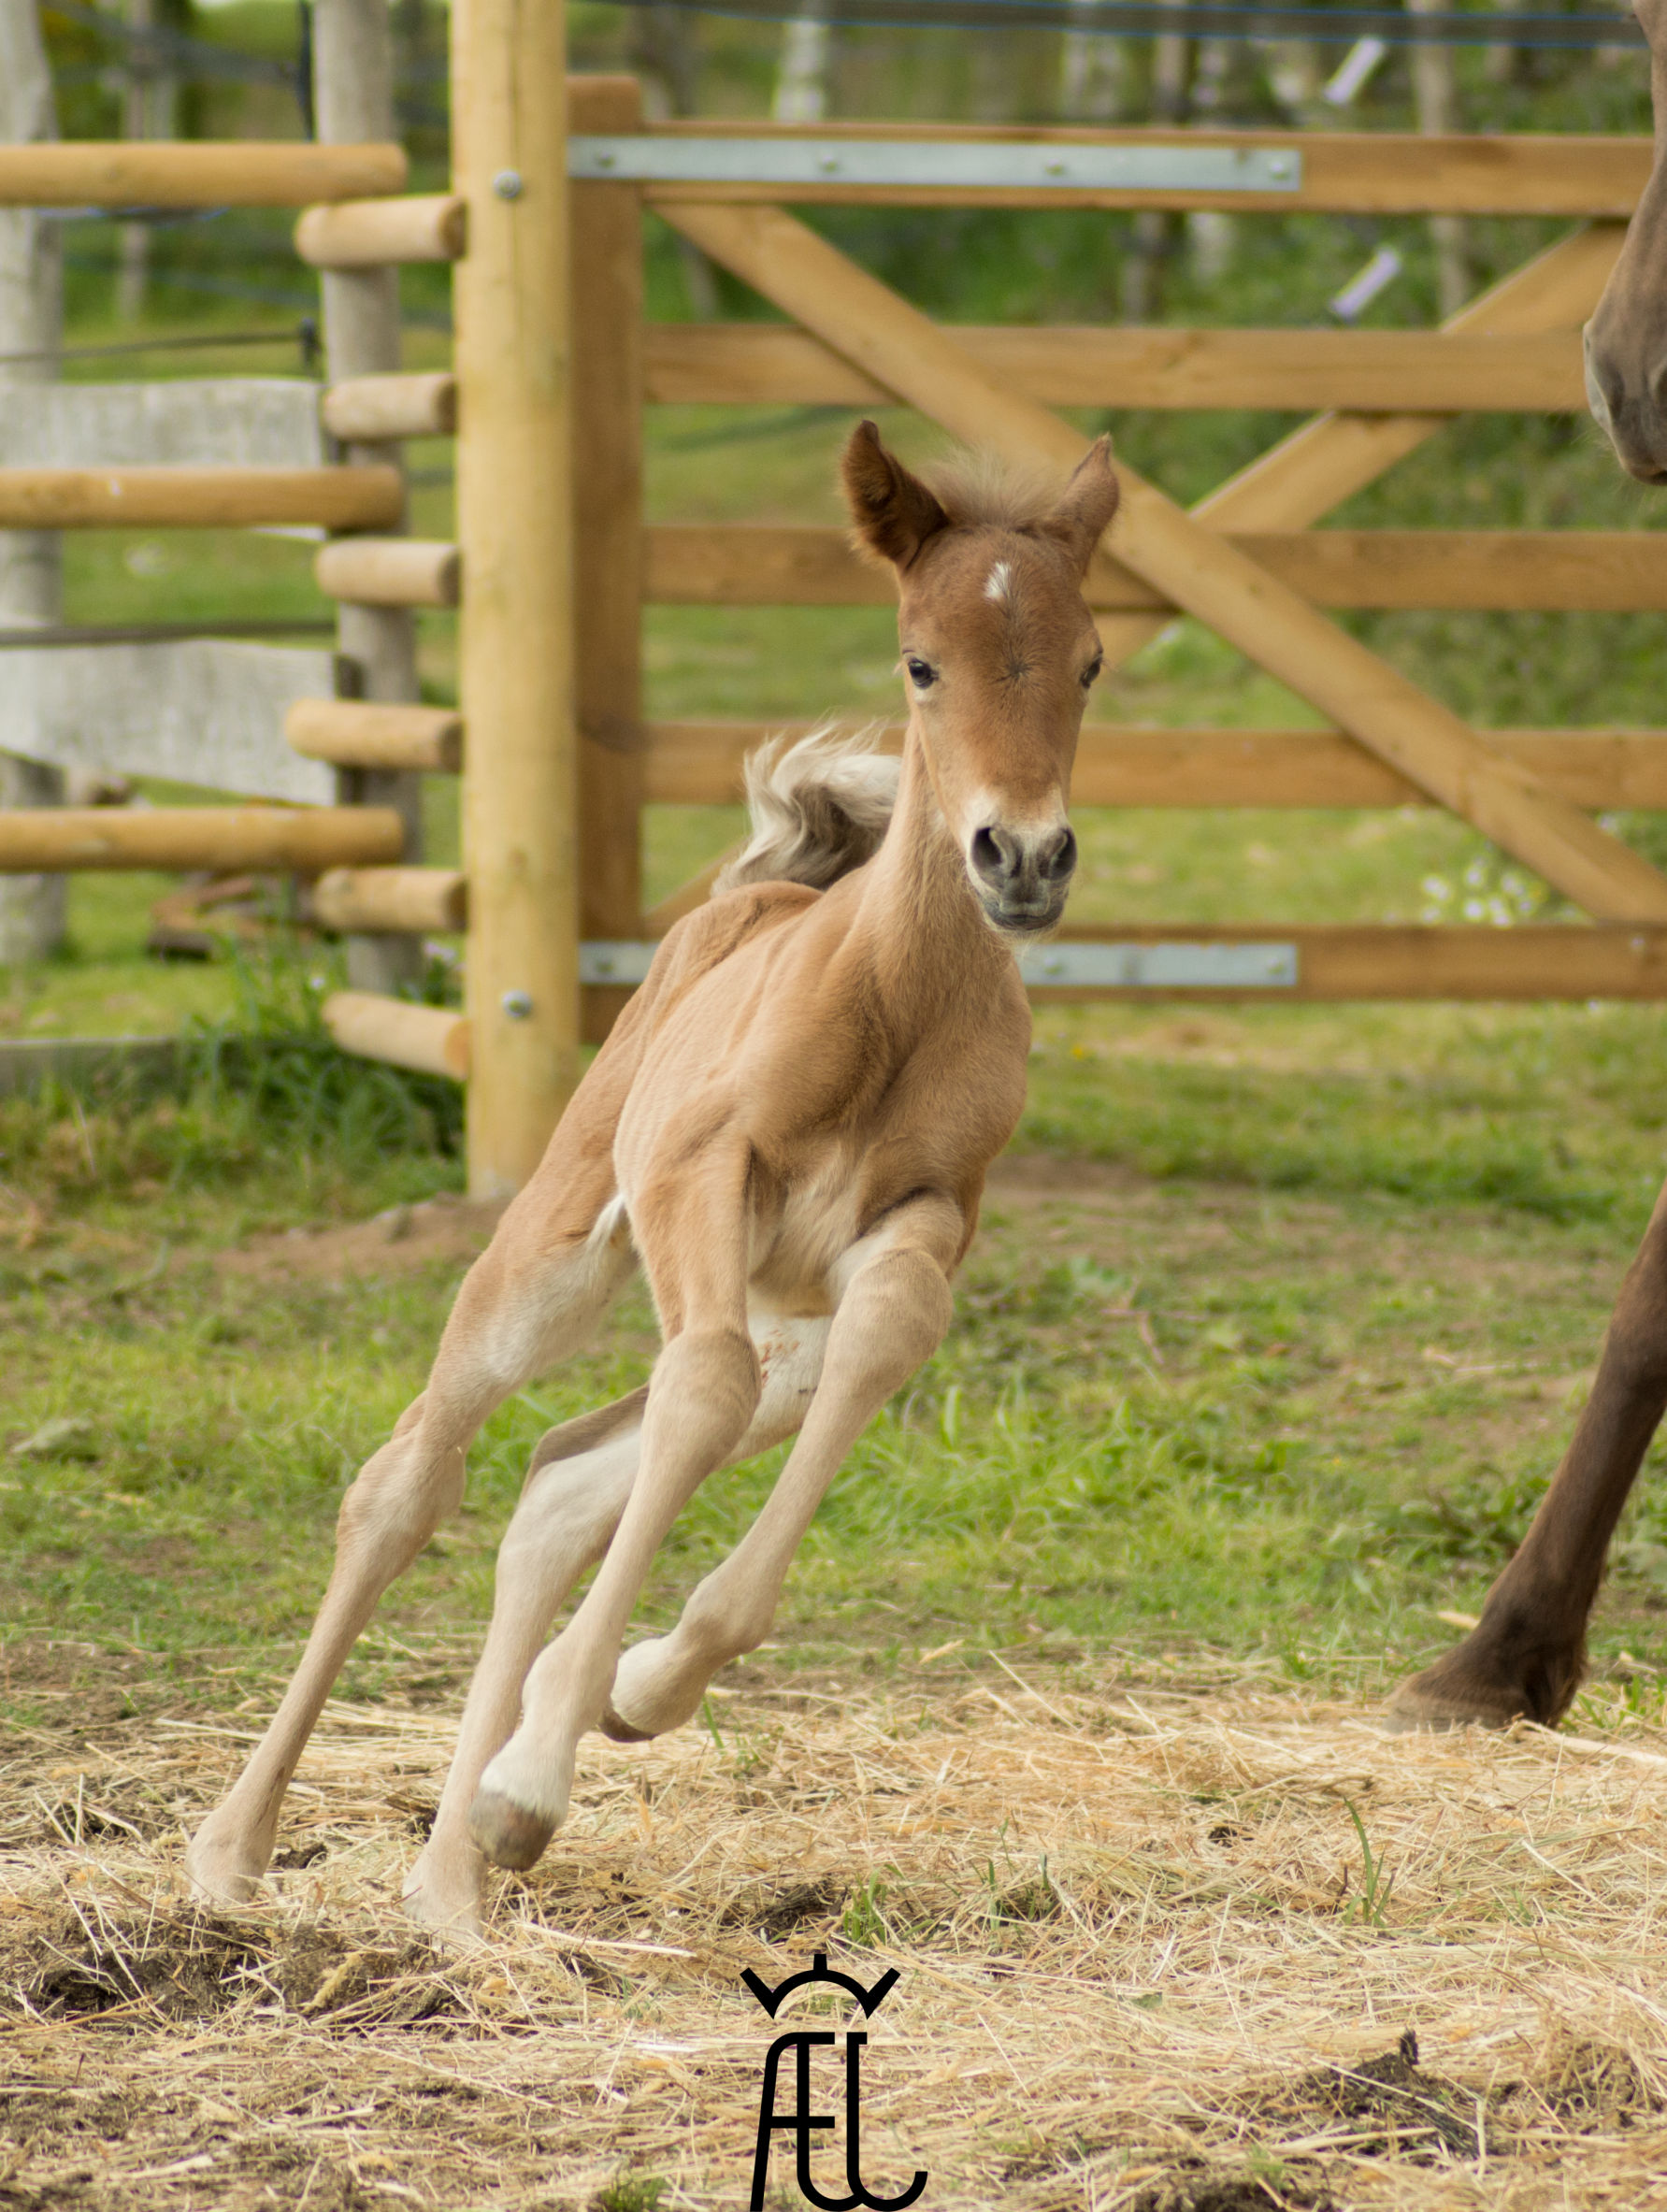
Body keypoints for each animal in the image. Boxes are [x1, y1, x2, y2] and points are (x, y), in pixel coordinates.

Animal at [188, 422, 1110, 1929]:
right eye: (921, 661)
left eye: (1086, 658)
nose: (1021, 858)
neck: (889, 994)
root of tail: (750, 896)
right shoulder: (700, 1174)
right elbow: (695, 1387)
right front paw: (536, 1772)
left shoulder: (920, 1222)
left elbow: (879, 1338)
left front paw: (610, 1706)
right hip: (561, 1248)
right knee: (410, 1478)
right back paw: (237, 1844)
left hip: (779, 1317)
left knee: (566, 1479)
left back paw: (450, 1883)